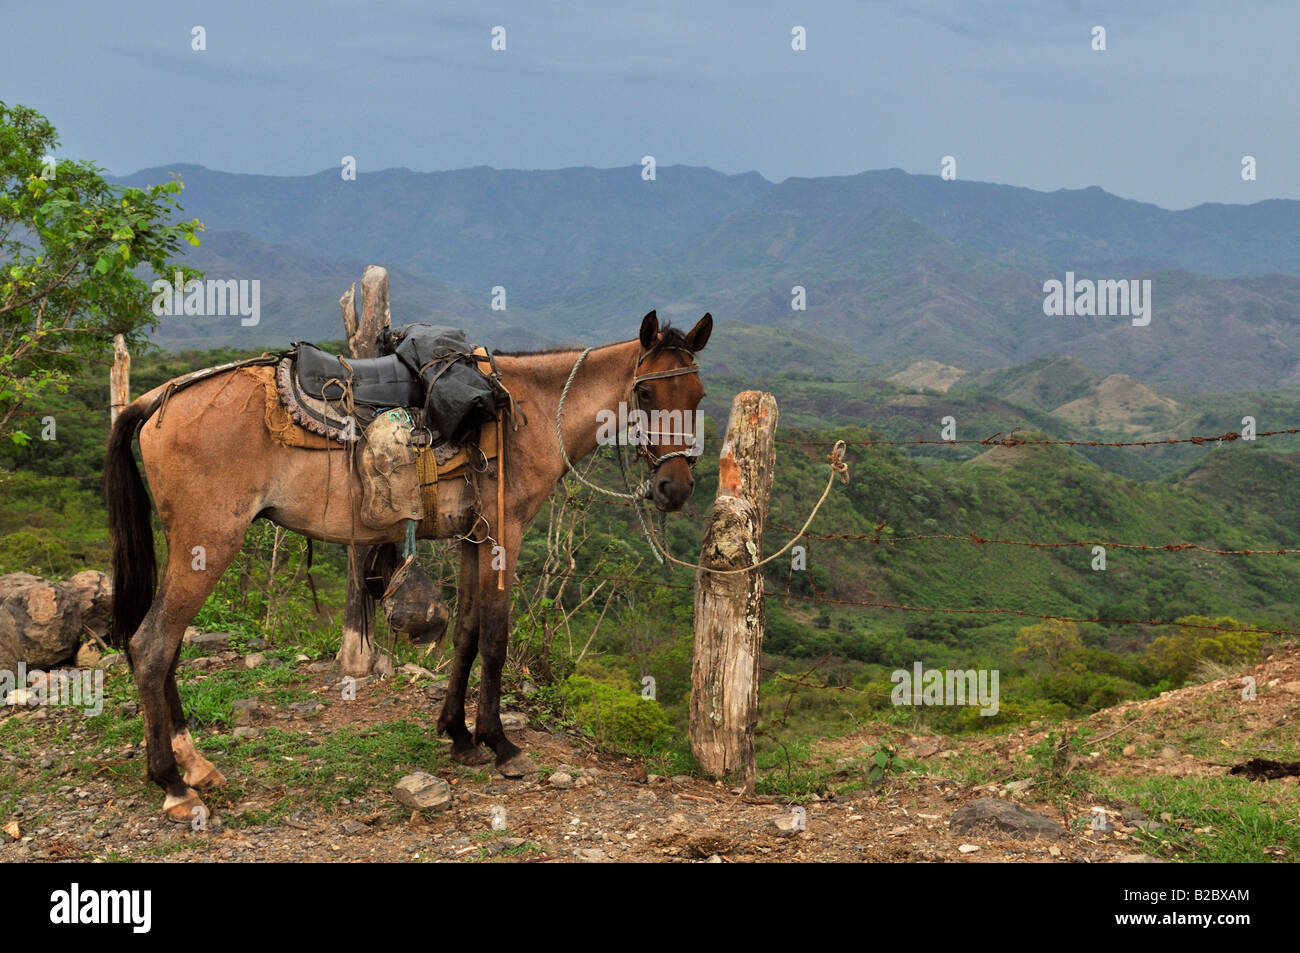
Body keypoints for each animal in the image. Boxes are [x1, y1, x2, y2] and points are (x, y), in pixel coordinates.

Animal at [101, 308, 712, 816]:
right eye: (647, 394)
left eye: (700, 395)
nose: (675, 487)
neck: (531, 412)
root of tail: (157, 398)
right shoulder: (504, 535)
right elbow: (495, 638)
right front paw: (500, 744)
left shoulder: (473, 537)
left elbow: (465, 633)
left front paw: (459, 736)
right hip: (210, 542)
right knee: (151, 645)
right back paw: (172, 783)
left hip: (193, 548)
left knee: (166, 645)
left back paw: (195, 766)